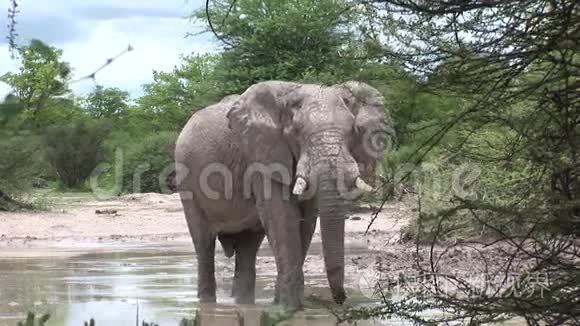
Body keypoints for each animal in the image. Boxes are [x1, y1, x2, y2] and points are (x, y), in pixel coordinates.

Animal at [174, 79, 394, 308]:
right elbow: (283, 216)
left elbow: (306, 221)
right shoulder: (262, 155)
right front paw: (289, 307)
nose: (341, 300)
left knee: (248, 246)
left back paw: (243, 304)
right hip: (187, 181)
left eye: (353, 130)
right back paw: (208, 303)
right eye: (296, 132)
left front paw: (283, 305)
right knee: (203, 243)